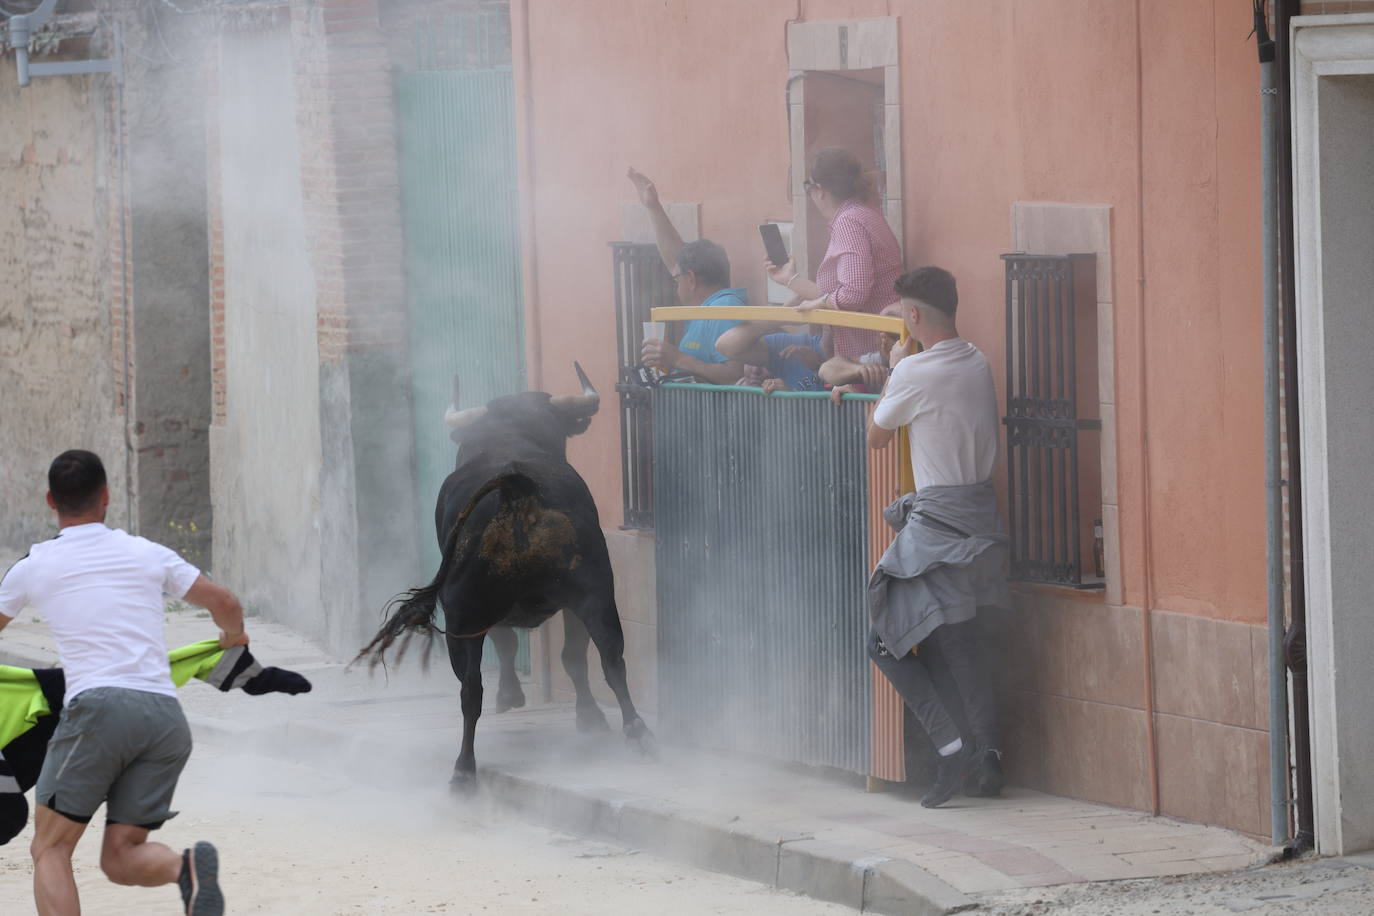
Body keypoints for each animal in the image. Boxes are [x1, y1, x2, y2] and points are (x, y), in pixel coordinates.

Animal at [354, 365, 654, 791]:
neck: (510, 431)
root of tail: (516, 486)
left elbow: (515, 646)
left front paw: (516, 696)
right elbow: (567, 655)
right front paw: (584, 714)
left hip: (470, 615)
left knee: (472, 688)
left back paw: (465, 769)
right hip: (593, 592)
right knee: (610, 658)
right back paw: (636, 732)